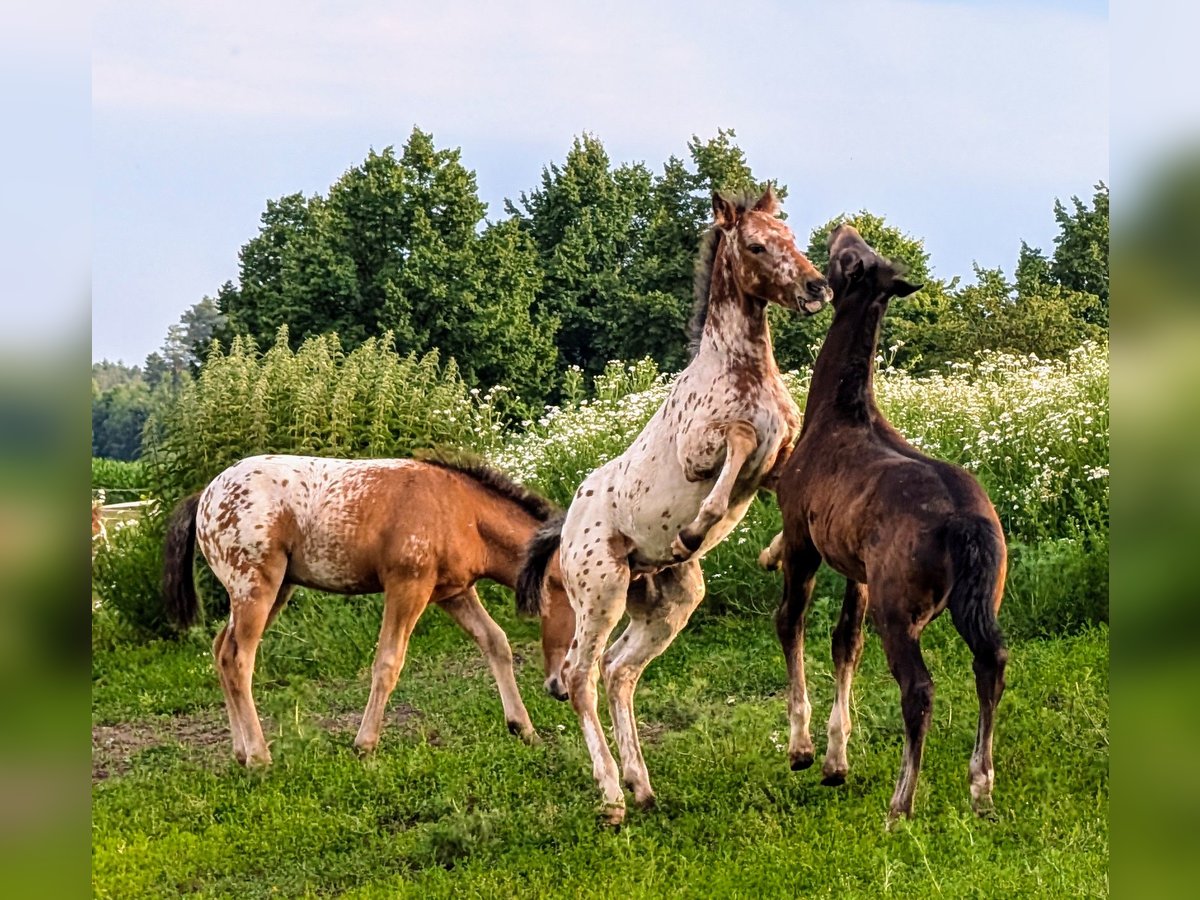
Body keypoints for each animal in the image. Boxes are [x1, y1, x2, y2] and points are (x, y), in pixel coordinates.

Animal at [520, 188, 830, 825]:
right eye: (756, 245)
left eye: (790, 234)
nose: (816, 288)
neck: (743, 371)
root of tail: (565, 528)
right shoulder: (703, 451)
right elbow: (737, 444)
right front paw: (695, 529)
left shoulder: (780, 458)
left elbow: (781, 476)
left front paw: (770, 552)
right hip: (603, 591)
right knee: (580, 677)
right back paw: (612, 797)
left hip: (667, 603)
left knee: (619, 672)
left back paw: (641, 785)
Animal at [763, 222, 1008, 820]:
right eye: (866, 251)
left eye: (849, 256)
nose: (843, 227)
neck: (834, 414)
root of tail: (966, 524)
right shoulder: (858, 570)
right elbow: (844, 641)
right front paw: (836, 761)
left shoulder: (803, 539)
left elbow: (790, 621)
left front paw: (803, 751)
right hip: (978, 601)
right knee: (990, 663)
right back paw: (981, 787)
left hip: (899, 611)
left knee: (919, 688)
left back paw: (901, 804)